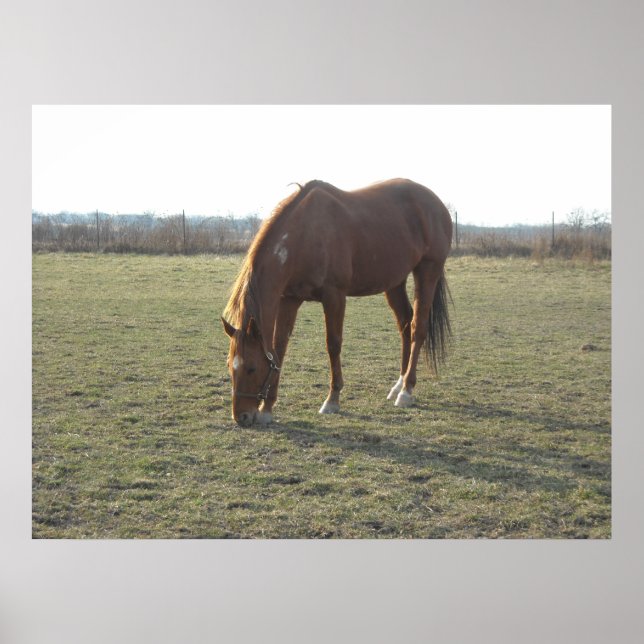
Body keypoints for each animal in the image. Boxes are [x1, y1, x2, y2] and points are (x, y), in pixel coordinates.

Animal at [221, 178, 452, 427]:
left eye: (251, 368)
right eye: (229, 365)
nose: (242, 417)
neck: (305, 234)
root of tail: (436, 204)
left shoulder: (334, 296)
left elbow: (333, 345)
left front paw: (332, 400)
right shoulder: (289, 299)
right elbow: (279, 347)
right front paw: (267, 408)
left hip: (428, 270)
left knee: (418, 328)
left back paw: (406, 391)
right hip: (395, 282)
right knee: (405, 324)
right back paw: (398, 385)